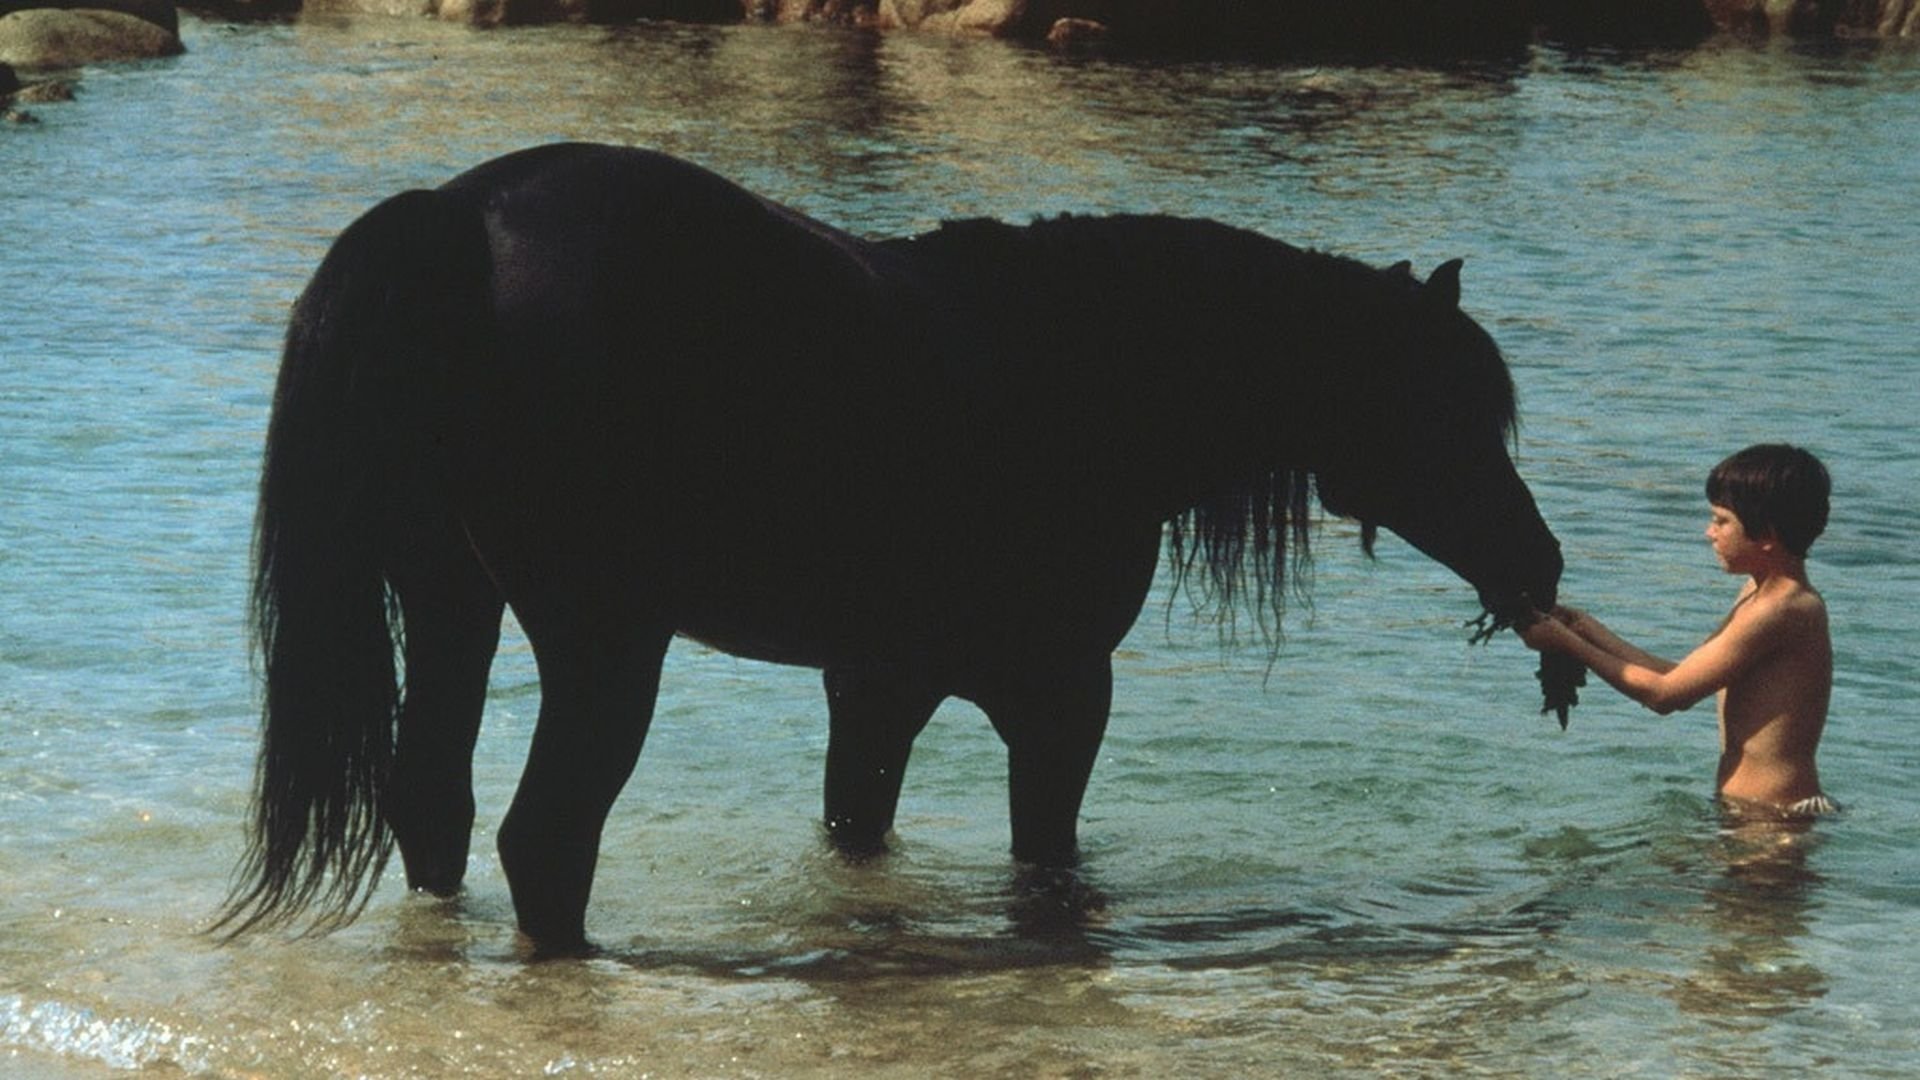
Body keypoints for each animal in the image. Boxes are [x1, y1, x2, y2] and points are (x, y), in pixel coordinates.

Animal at [220, 143, 1559, 949]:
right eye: (1447, 410)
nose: (1538, 566)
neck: (1085, 370)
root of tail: (455, 218)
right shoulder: (1061, 697)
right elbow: (1046, 864)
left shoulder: (877, 686)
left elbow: (857, 836)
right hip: (602, 644)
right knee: (544, 840)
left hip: (453, 603)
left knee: (433, 805)